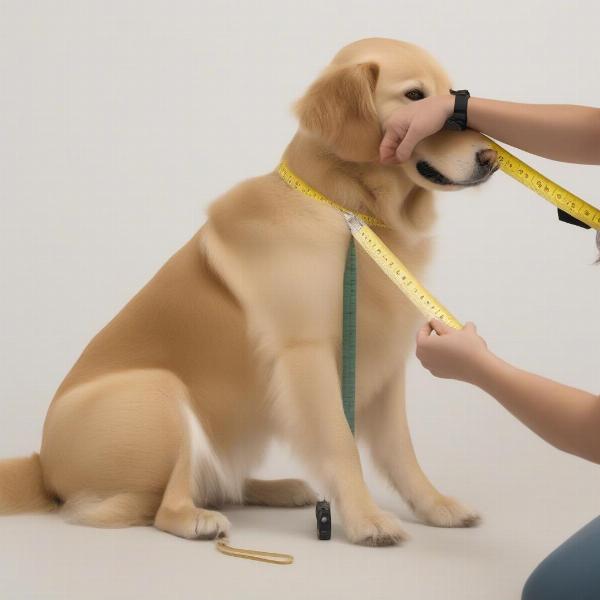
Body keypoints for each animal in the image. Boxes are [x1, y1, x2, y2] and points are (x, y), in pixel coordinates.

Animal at [1, 36, 496, 544]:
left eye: (452, 98)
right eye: (415, 96)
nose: (491, 158)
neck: (346, 212)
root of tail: (42, 466)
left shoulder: (386, 358)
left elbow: (401, 450)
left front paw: (436, 506)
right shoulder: (307, 351)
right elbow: (340, 441)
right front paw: (365, 519)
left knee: (219, 483)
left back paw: (278, 488)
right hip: (157, 390)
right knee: (162, 506)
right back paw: (197, 519)